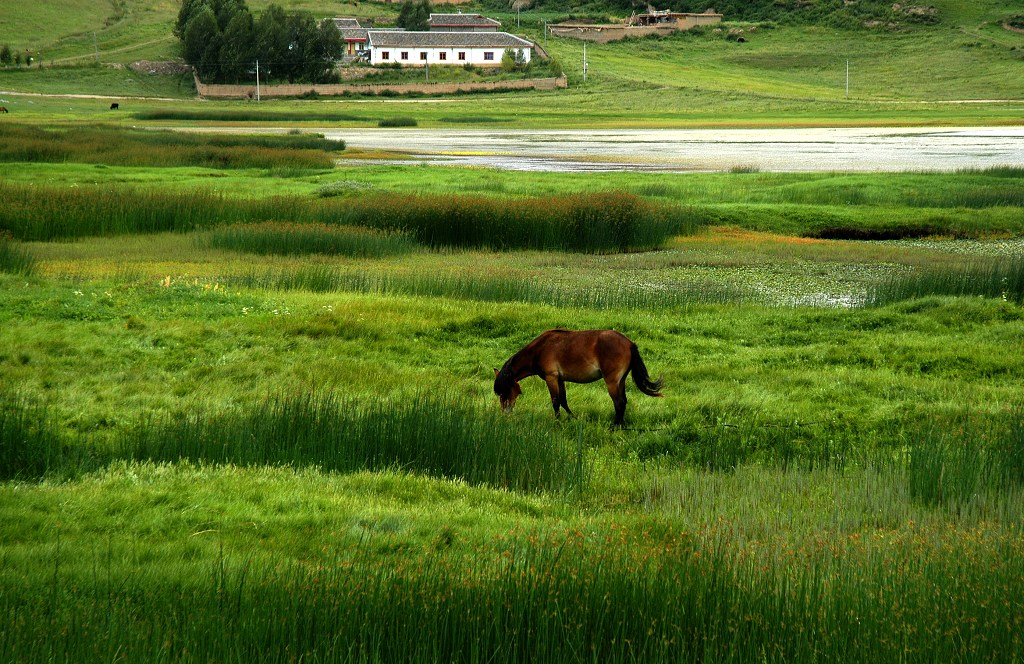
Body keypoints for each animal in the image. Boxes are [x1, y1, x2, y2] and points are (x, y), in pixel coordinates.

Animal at [493, 327, 663, 426]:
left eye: (504, 392)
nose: (505, 414)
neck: (539, 349)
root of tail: (629, 343)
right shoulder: (560, 379)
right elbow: (563, 400)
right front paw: (572, 418)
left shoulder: (551, 377)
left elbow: (555, 402)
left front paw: (557, 422)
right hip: (620, 381)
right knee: (623, 401)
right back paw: (621, 425)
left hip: (612, 381)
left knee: (619, 403)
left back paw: (613, 427)